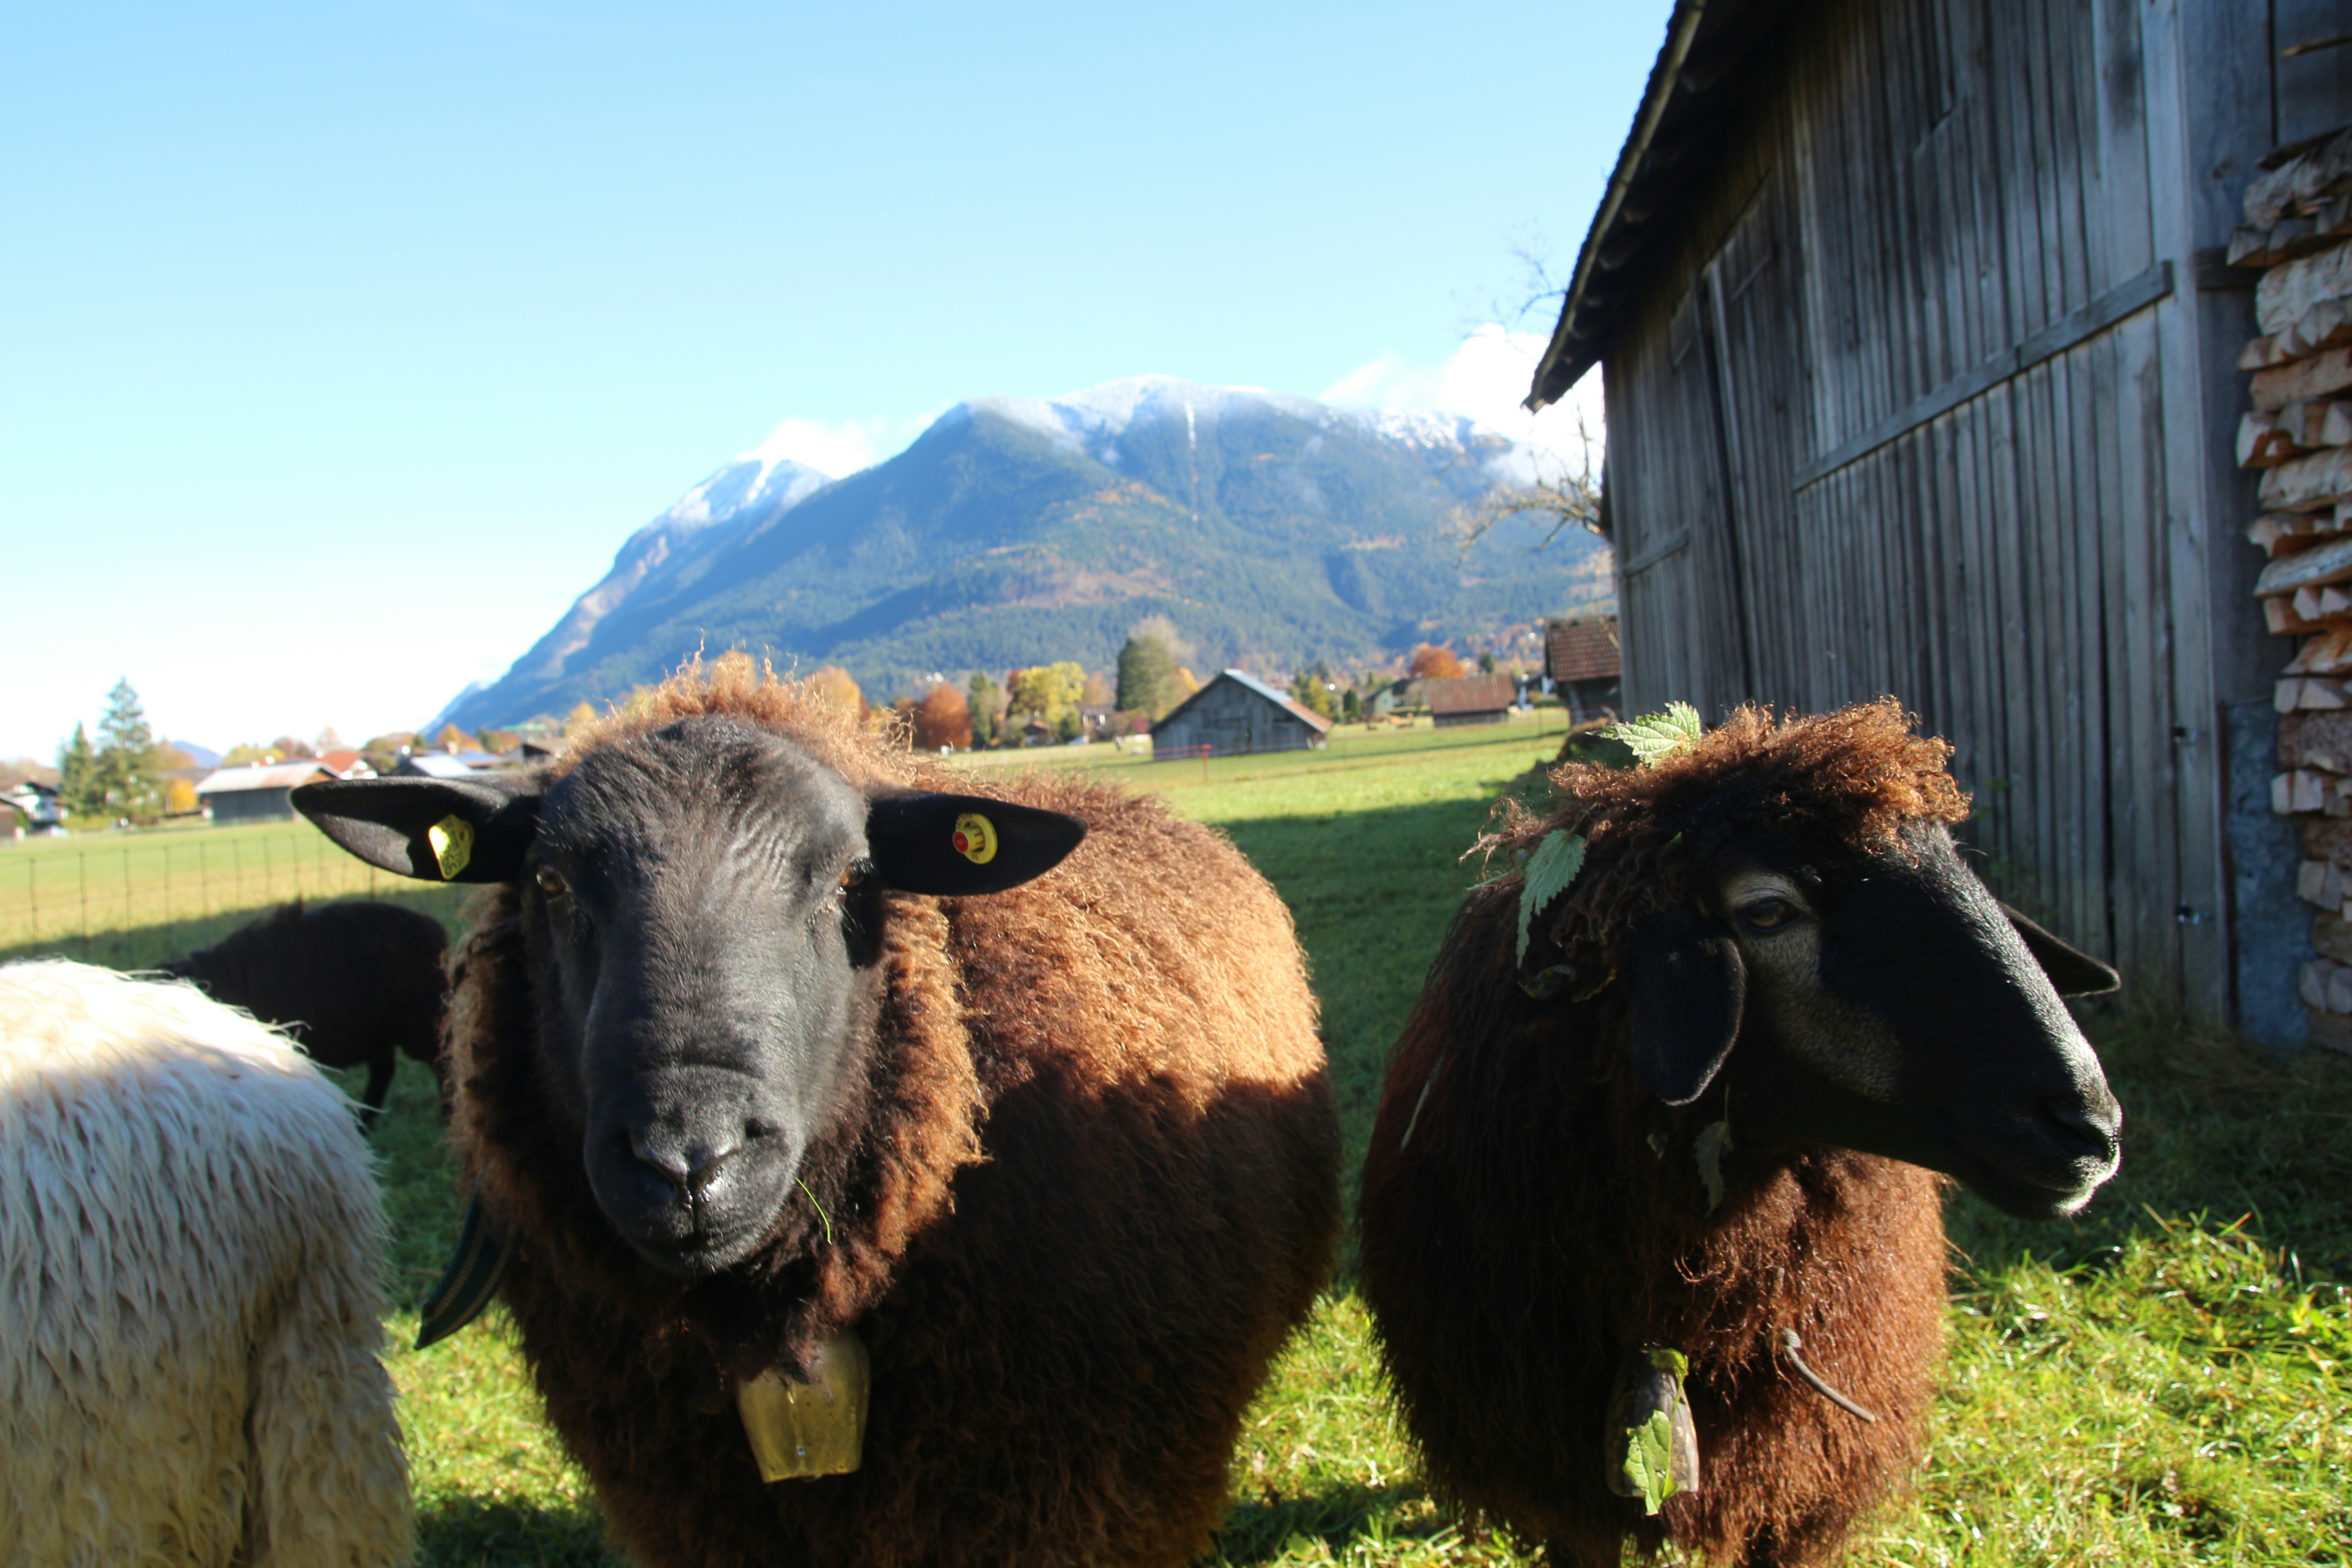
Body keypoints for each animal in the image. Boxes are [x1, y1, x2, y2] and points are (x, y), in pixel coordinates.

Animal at [161, 898, 449, 1124]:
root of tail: (434, 929)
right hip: (375, 1028)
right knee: (384, 1070)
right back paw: (363, 1122)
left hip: (418, 1020)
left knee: (442, 1061)